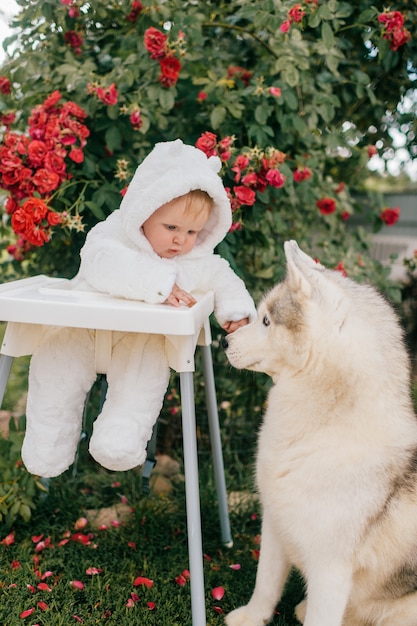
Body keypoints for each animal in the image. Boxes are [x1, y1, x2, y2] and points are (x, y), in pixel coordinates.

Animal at [224, 240, 417, 624]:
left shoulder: (331, 569)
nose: (224, 340)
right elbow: (265, 582)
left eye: (266, 320)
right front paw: (253, 616)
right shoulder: (275, 523)